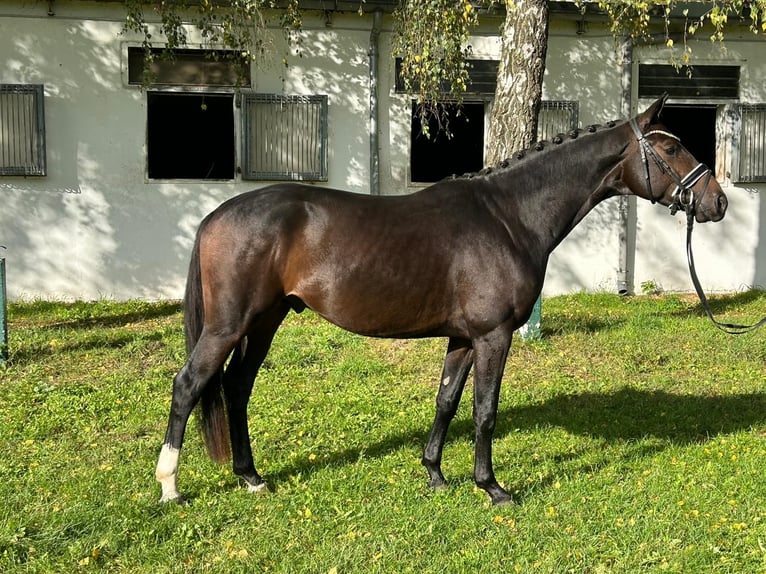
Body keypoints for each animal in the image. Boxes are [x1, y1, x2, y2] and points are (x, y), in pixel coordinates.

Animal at [154, 97, 728, 506]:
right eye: (671, 148)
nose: (717, 202)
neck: (508, 217)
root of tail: (216, 216)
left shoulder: (463, 336)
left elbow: (446, 401)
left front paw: (434, 474)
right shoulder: (494, 335)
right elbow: (484, 410)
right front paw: (492, 487)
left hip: (265, 320)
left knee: (236, 387)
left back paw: (251, 477)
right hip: (229, 324)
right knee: (189, 385)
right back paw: (171, 487)